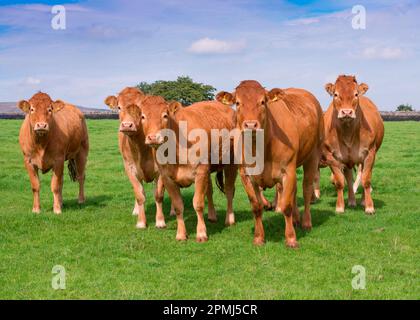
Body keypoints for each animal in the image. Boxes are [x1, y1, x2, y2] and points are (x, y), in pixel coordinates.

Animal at [104, 86, 172, 229]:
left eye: (139, 109)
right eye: (119, 107)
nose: (127, 125)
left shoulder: (161, 170)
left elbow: (158, 195)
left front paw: (160, 221)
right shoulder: (129, 168)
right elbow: (139, 195)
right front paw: (141, 222)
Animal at [136, 96, 238, 241]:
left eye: (165, 115)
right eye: (143, 116)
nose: (153, 137)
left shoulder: (200, 172)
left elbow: (198, 203)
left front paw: (201, 233)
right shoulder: (167, 178)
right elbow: (178, 206)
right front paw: (181, 234)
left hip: (231, 164)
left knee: (229, 191)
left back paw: (229, 219)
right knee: (210, 191)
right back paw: (212, 215)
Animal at [218, 80, 324, 248]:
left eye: (262, 102)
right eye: (237, 102)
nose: (250, 125)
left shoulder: (288, 171)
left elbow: (286, 206)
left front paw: (291, 238)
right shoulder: (245, 175)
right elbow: (256, 207)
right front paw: (258, 237)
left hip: (313, 155)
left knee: (307, 189)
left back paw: (306, 222)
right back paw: (296, 219)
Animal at [322, 76, 384, 214]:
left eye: (356, 94)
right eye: (335, 94)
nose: (346, 112)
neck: (348, 133)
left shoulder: (369, 154)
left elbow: (366, 180)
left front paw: (369, 207)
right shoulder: (331, 156)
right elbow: (340, 181)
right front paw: (340, 207)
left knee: (361, 175)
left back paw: (362, 200)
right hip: (347, 160)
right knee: (349, 178)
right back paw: (351, 201)